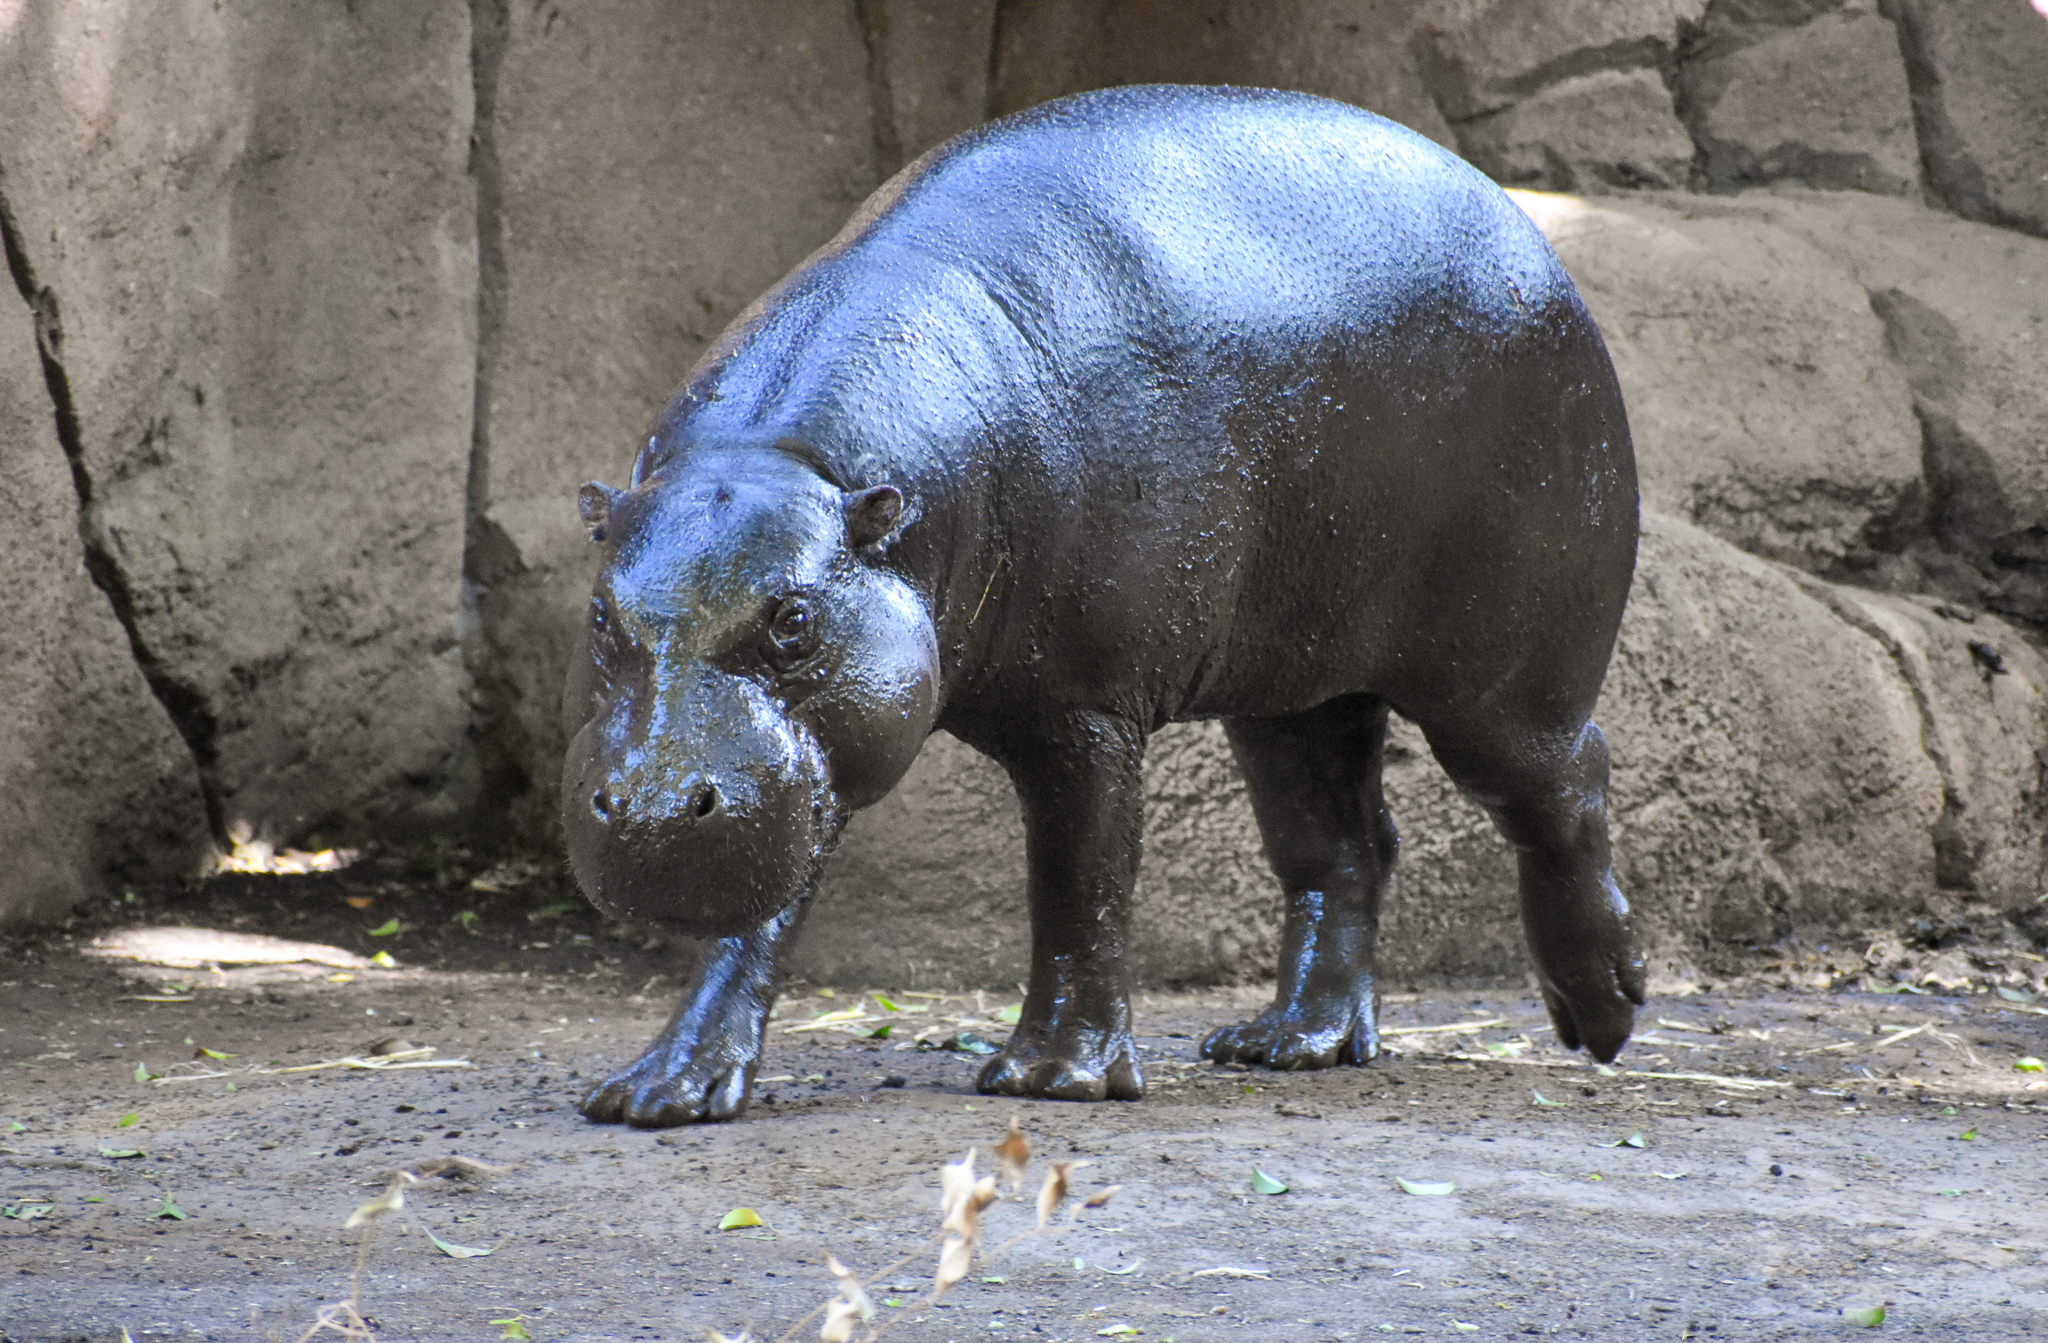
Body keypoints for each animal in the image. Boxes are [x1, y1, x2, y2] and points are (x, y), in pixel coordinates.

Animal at [563, 85, 1643, 1127]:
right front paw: (657, 1090)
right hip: (1292, 684)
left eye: (792, 617)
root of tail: (1526, 233)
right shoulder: (811, 750)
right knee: (1341, 845)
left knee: (1566, 780)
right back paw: (1290, 1041)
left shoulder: (1079, 708)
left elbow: (1078, 882)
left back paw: (1602, 1013)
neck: (792, 461)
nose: (652, 811)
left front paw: (1054, 1074)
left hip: (1501, 671)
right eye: (600, 616)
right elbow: (757, 900)